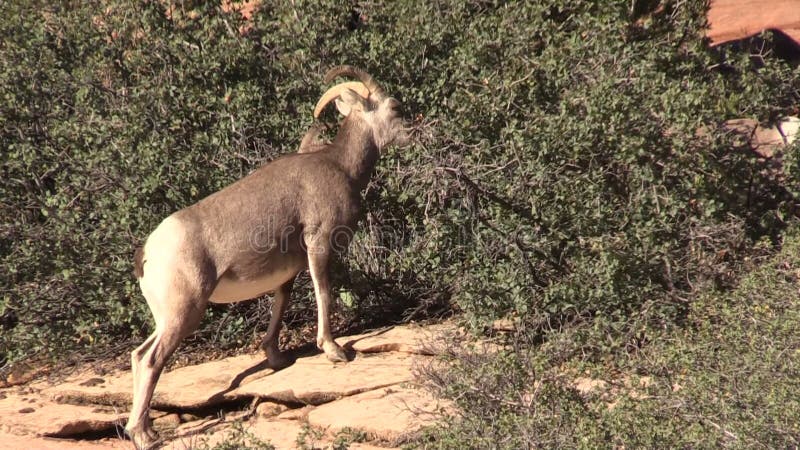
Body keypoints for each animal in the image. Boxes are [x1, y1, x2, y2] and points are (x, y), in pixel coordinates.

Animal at [124, 65, 406, 448]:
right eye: (393, 107)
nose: (412, 132)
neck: (340, 166)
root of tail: (148, 254)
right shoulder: (319, 245)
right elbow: (324, 294)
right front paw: (334, 351)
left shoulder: (288, 270)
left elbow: (281, 304)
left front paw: (277, 357)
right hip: (185, 312)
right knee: (151, 360)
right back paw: (143, 436)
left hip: (168, 316)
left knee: (139, 356)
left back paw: (146, 429)